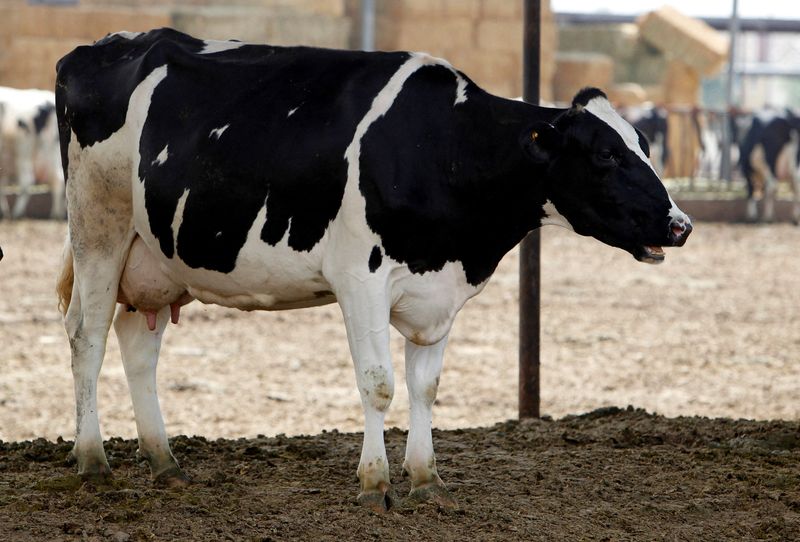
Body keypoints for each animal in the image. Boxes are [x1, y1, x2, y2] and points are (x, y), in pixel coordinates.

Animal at [0, 86, 66, 220]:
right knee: (58, 179)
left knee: (27, 180)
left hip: (23, 149)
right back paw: (56, 213)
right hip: (51, 151)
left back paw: (17, 213)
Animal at [56, 28, 692, 516]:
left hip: (156, 257)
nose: (680, 224)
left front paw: (427, 480)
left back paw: (164, 461)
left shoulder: (439, 293)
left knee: (137, 344)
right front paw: (375, 484)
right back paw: (92, 459)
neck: (442, 148)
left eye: (644, 144)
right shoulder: (359, 278)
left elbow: (426, 386)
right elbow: (379, 383)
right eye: (605, 154)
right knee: (87, 334)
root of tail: (103, 45)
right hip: (98, 225)